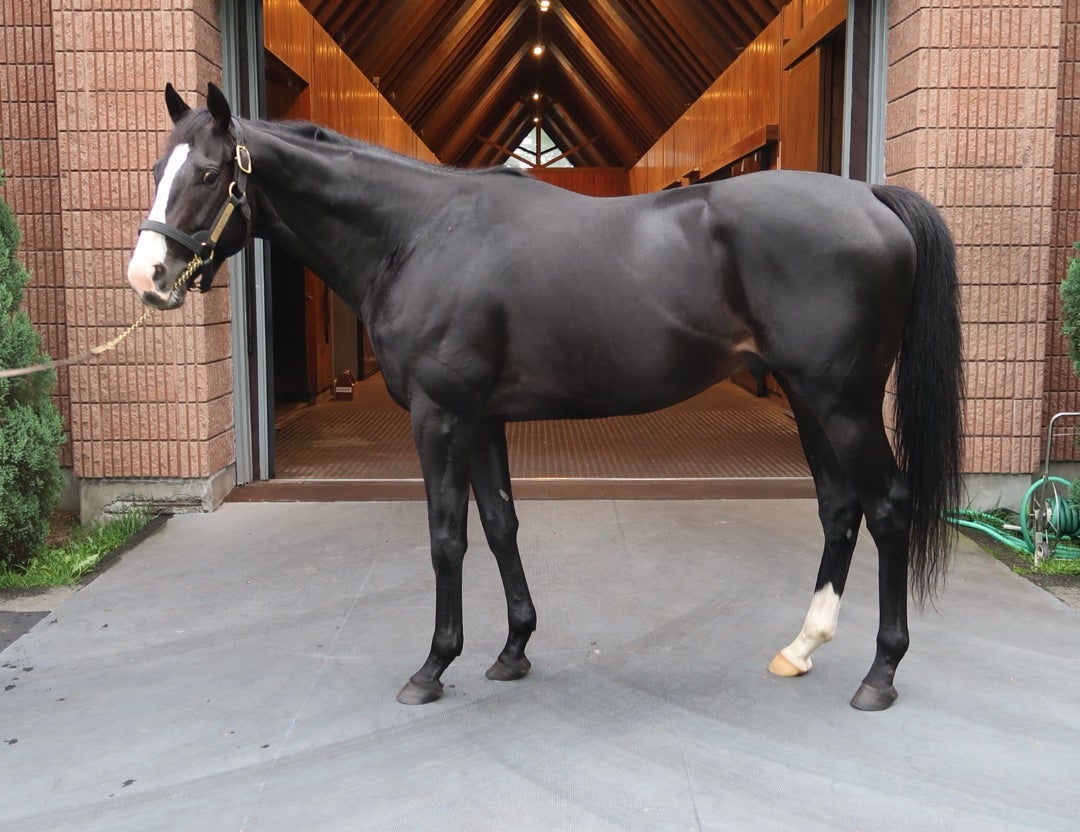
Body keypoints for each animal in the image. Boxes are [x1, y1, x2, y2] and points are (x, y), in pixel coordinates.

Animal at [127, 83, 963, 711]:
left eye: (209, 173)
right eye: (156, 167)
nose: (147, 276)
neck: (418, 233)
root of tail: (872, 200)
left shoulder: (439, 417)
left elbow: (446, 537)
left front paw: (433, 667)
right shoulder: (483, 418)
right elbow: (501, 525)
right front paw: (513, 649)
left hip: (843, 402)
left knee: (887, 509)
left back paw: (880, 674)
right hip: (808, 397)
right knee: (840, 509)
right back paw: (801, 647)